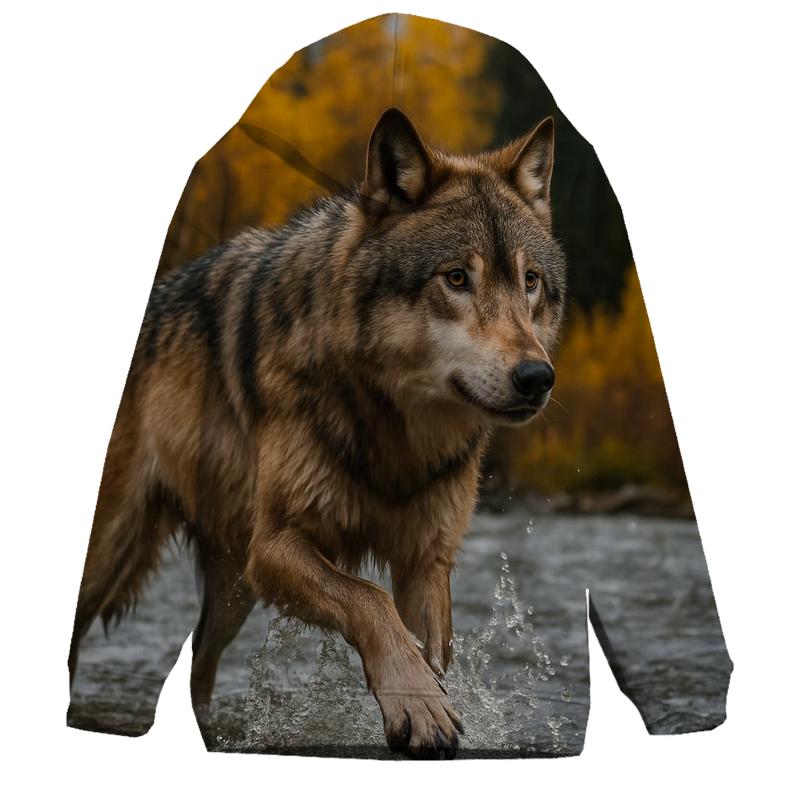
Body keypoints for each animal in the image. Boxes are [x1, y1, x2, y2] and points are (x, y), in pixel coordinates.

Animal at [68, 107, 567, 759]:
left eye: (530, 282)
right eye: (456, 278)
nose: (537, 377)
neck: (394, 433)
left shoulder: (426, 559)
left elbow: (429, 647)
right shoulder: (279, 544)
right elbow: (369, 601)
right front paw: (419, 706)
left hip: (234, 588)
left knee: (200, 661)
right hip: (118, 558)